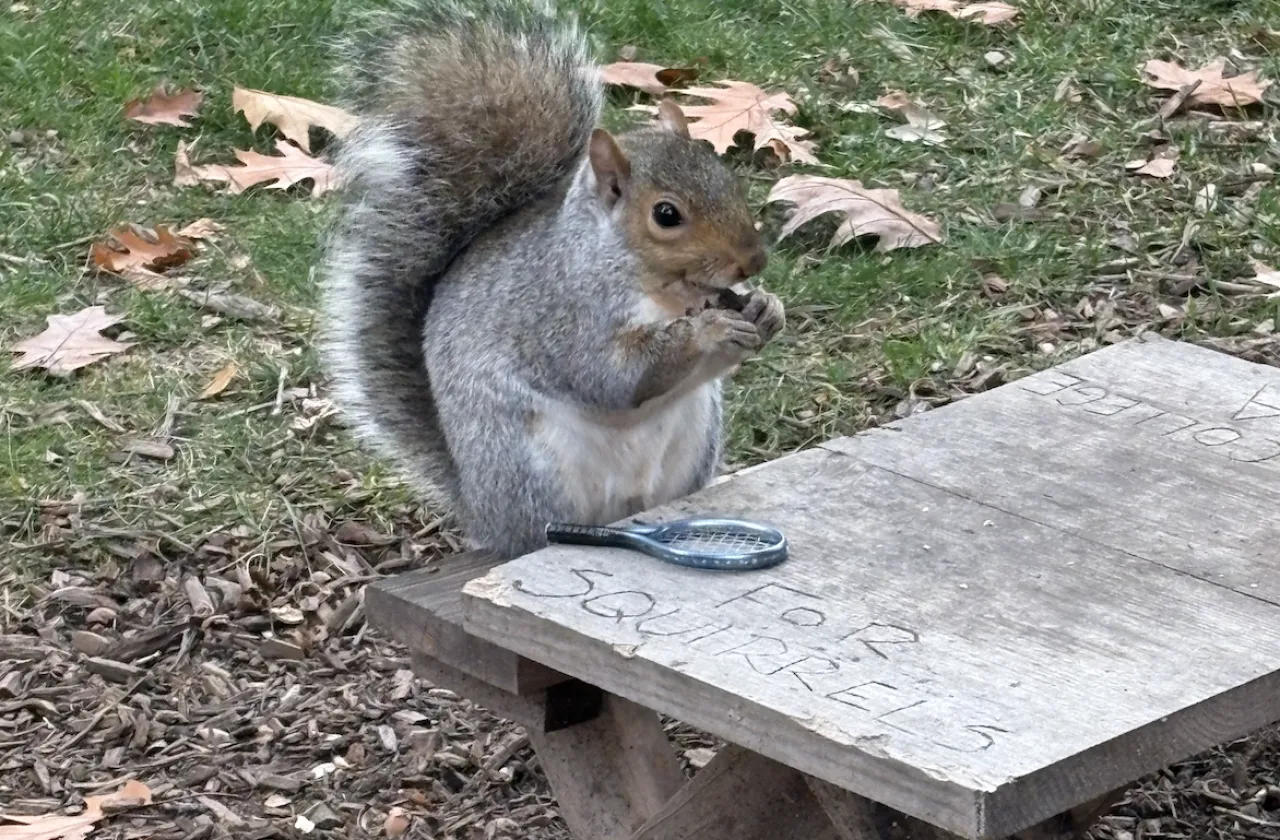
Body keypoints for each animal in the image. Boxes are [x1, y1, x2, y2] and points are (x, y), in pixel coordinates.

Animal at [319, 0, 785, 560]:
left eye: (727, 179)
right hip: (531, 468)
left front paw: (767, 308)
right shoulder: (564, 312)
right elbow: (612, 376)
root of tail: (481, 512)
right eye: (666, 214)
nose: (753, 261)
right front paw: (708, 331)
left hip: (694, 440)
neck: (658, 291)